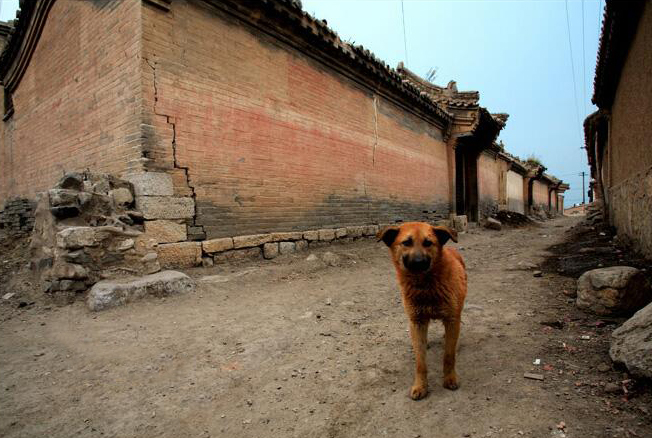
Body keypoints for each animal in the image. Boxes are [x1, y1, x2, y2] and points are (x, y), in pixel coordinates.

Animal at [380, 222, 466, 400]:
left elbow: (449, 356)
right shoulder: (417, 322)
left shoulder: (451, 319)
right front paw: (420, 386)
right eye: (406, 242)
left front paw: (450, 378)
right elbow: (420, 362)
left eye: (428, 243)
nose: (419, 262)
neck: (426, 288)